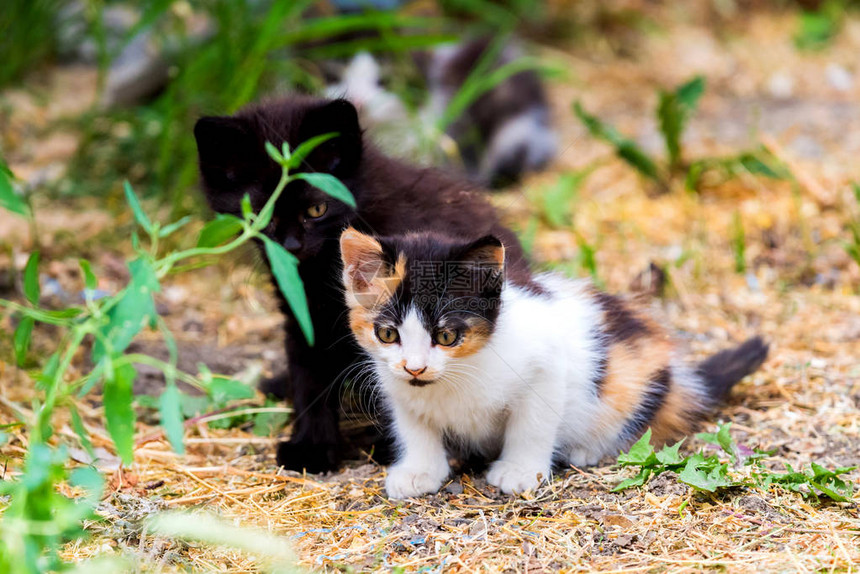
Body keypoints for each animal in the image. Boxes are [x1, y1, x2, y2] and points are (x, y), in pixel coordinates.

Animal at [196, 95, 536, 472]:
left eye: (317, 209)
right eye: (260, 214)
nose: (291, 247)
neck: (321, 269)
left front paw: (389, 446)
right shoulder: (304, 315)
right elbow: (308, 375)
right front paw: (312, 446)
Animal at [340, 227, 768, 498]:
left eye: (446, 336)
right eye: (387, 334)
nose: (414, 368)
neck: (460, 374)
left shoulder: (545, 365)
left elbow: (531, 425)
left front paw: (518, 471)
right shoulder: (397, 387)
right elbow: (415, 429)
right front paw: (420, 471)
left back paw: (587, 449)